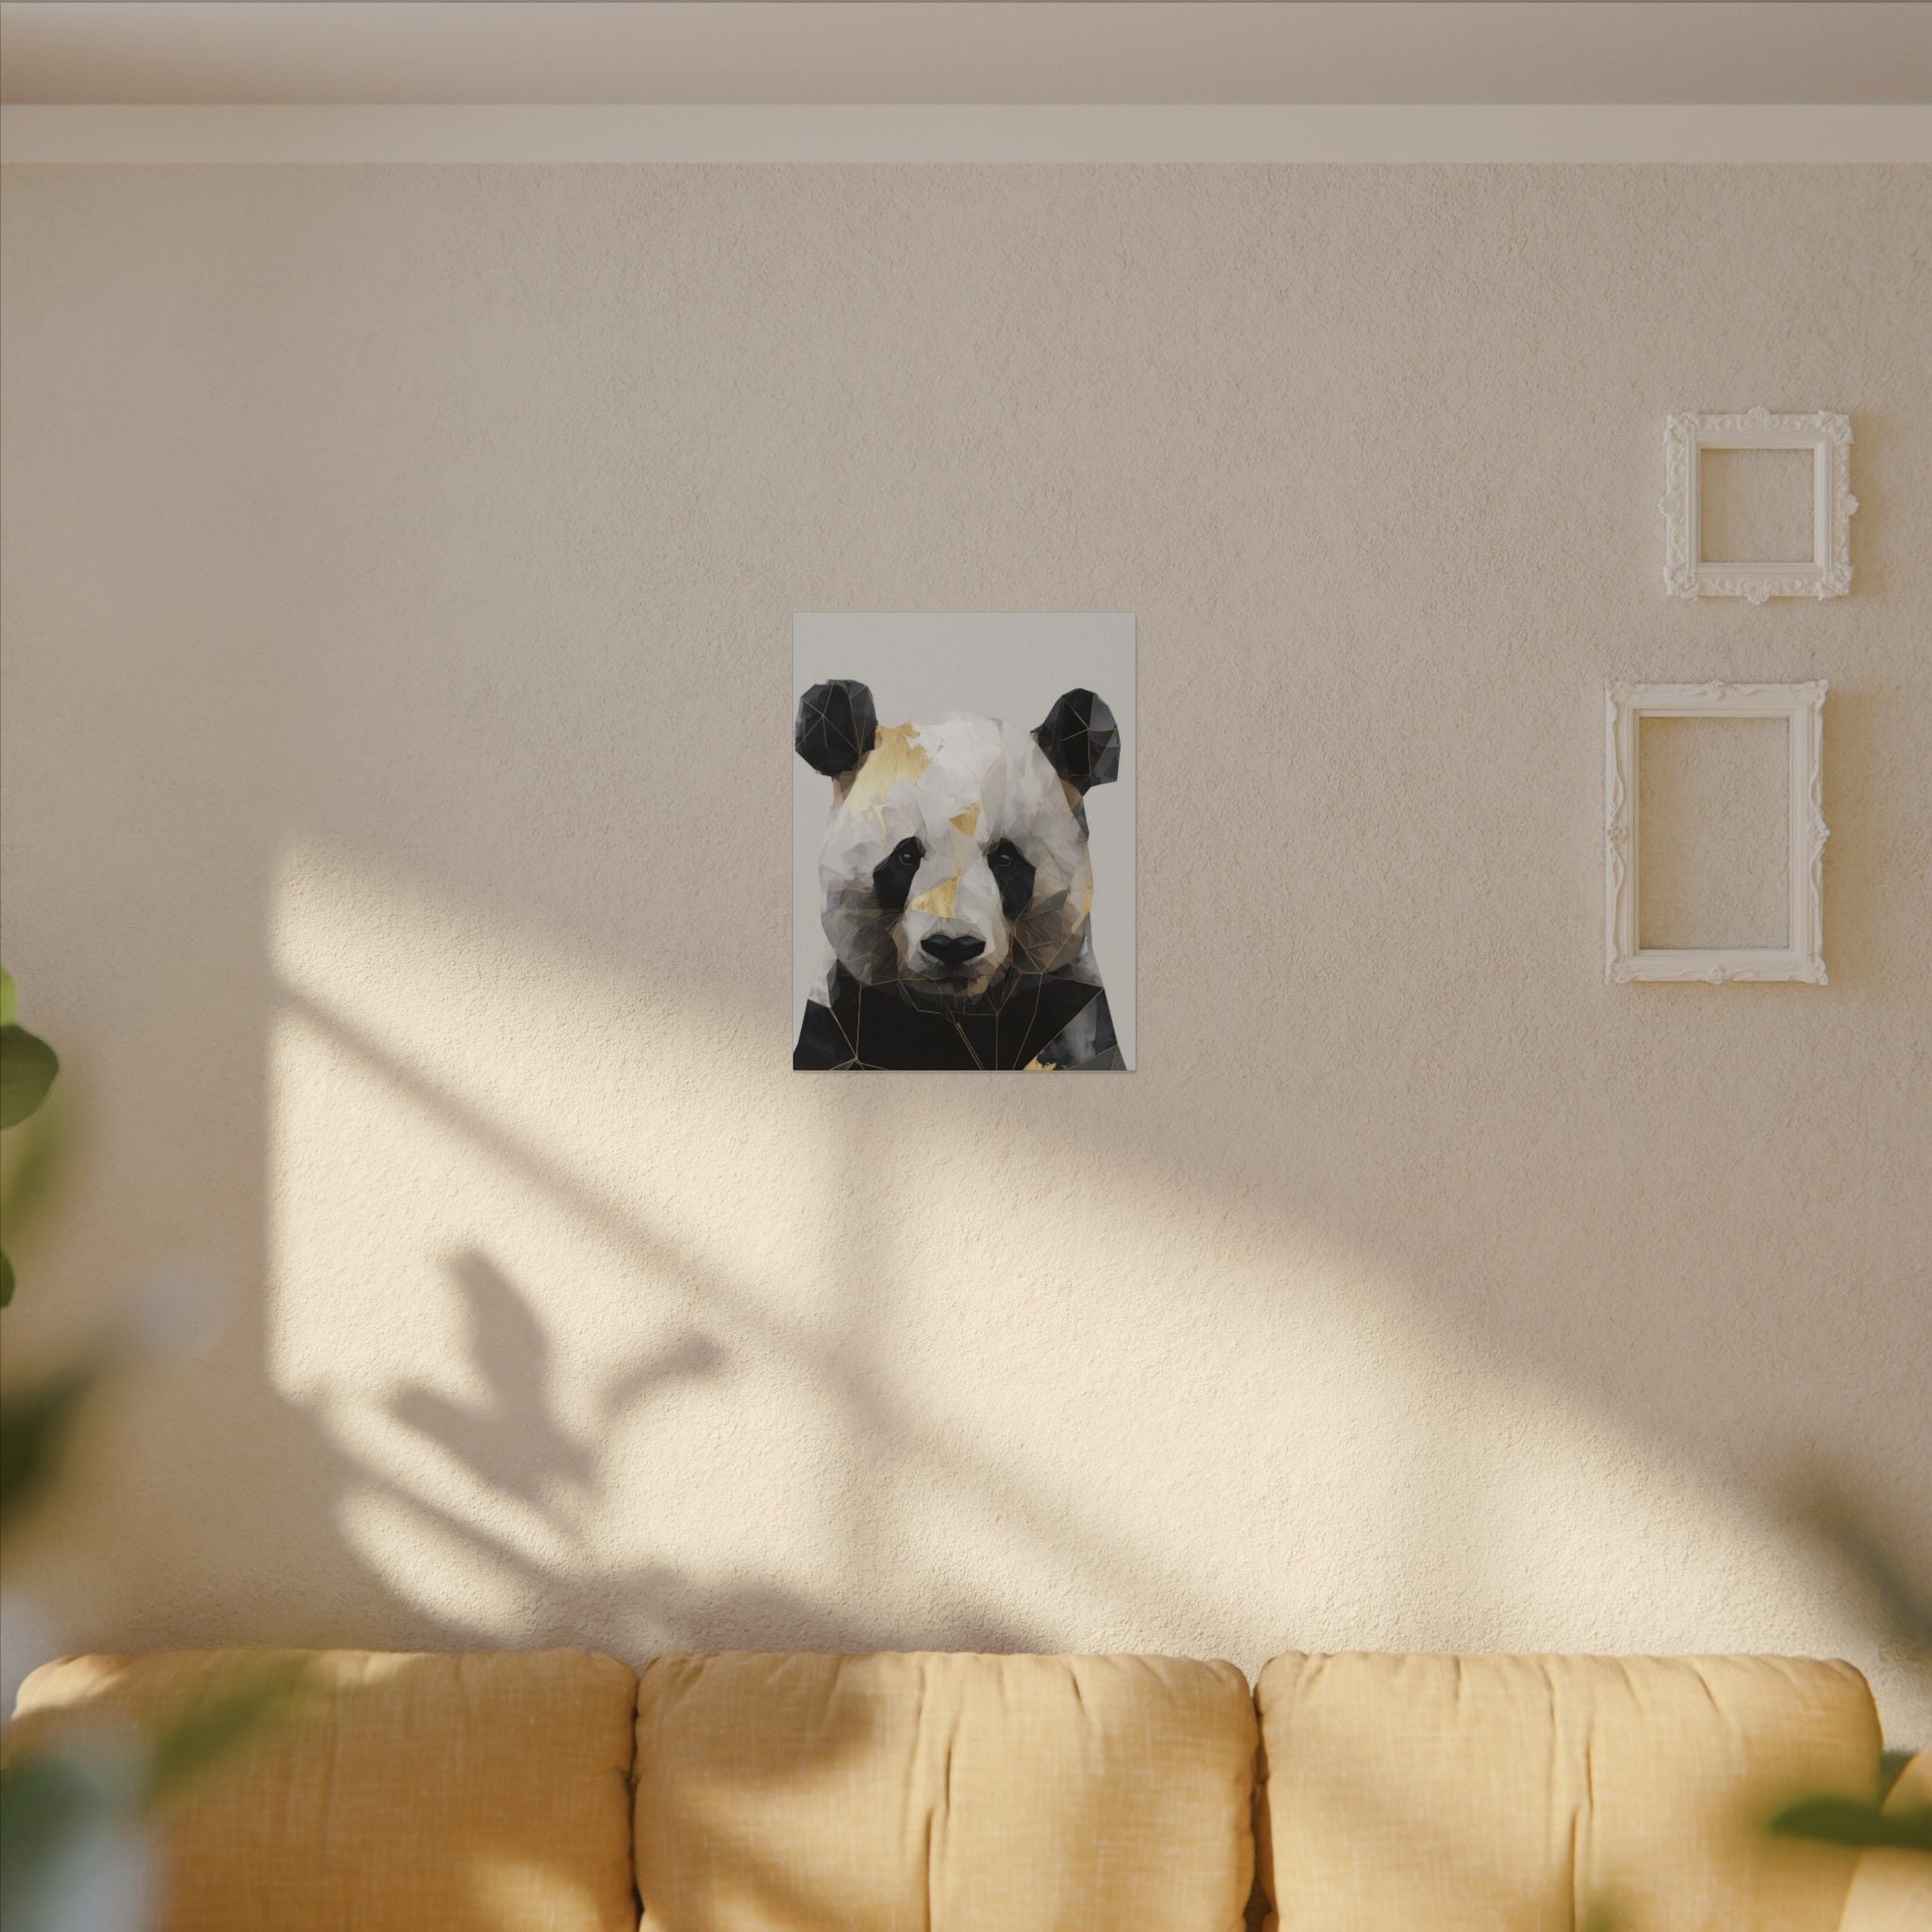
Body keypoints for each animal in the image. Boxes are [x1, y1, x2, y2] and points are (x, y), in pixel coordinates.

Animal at [794, 678, 1125, 1071]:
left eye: (1005, 858)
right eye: (906, 856)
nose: (952, 946)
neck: (958, 1015)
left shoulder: (1066, 1010)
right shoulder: (841, 1016)